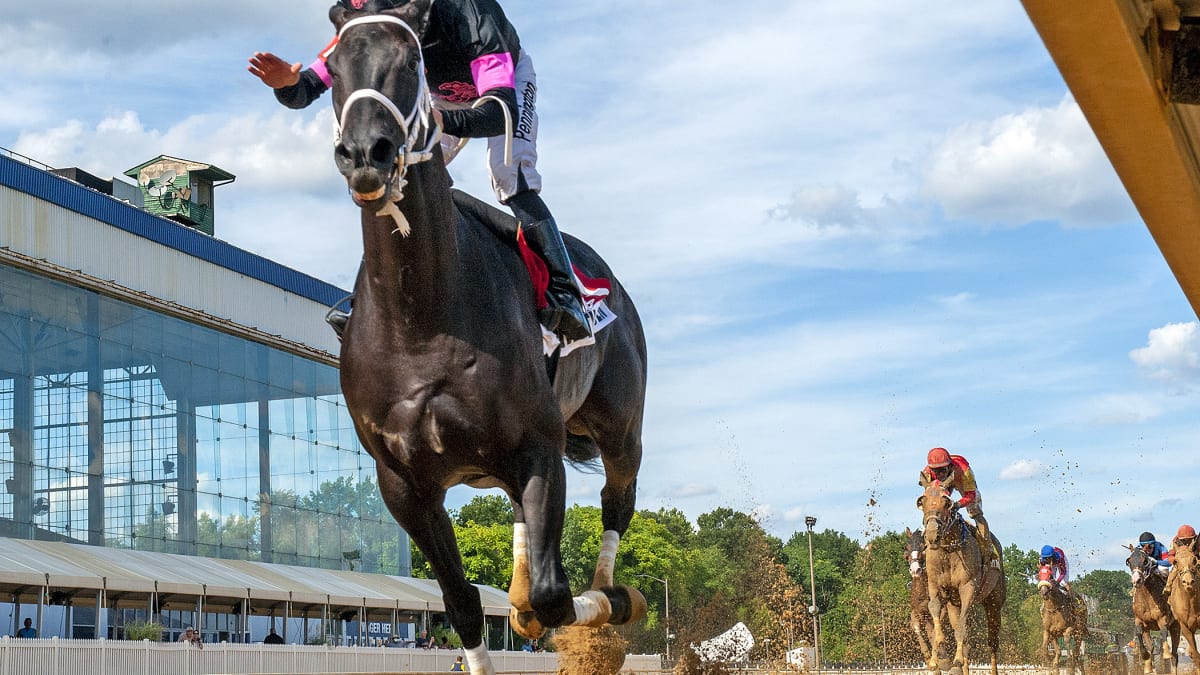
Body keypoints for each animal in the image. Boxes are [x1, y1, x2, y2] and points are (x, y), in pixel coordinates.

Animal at [321, 2, 648, 667]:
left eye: (411, 62)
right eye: (333, 68)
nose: (366, 151)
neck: (420, 321)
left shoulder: (539, 447)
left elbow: (553, 597)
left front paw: (592, 608)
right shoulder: (404, 484)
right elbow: (464, 605)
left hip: (620, 428)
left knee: (617, 501)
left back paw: (612, 592)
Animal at [916, 480, 1003, 667]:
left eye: (946, 503)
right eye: (922, 502)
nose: (932, 534)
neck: (949, 550)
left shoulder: (968, 586)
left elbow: (962, 626)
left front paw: (955, 660)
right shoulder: (935, 585)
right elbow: (934, 610)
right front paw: (936, 657)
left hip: (995, 601)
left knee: (992, 642)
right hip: (953, 604)